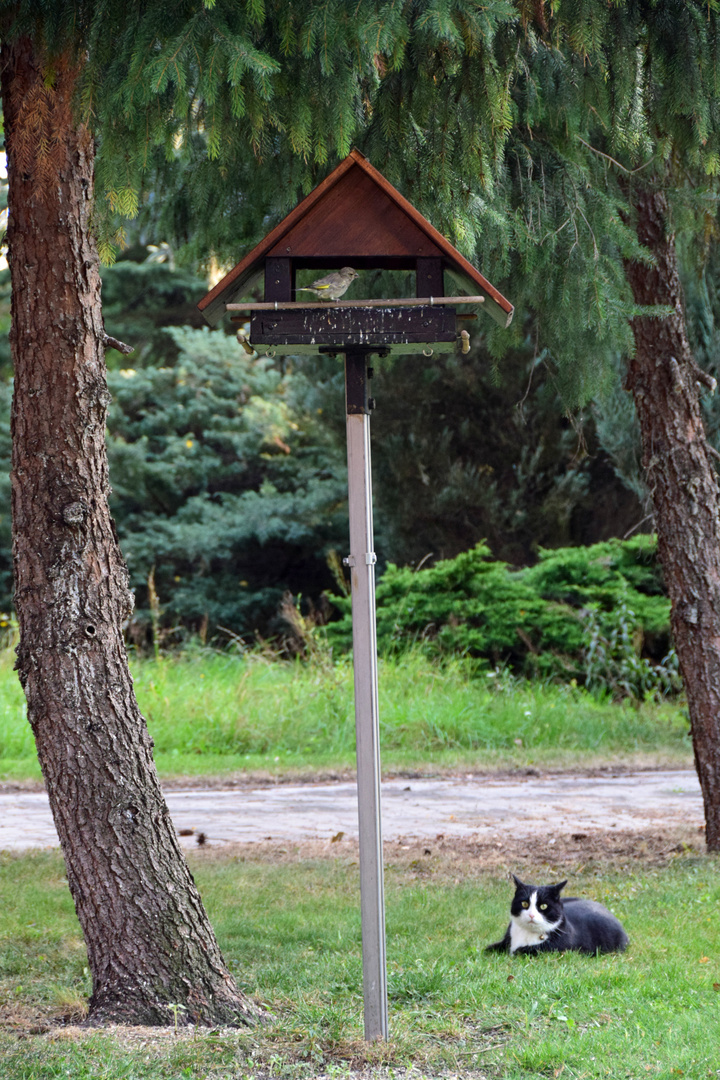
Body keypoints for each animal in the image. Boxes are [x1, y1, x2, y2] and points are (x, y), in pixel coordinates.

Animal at [483, 872, 630, 959]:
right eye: (524, 903)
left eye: (543, 906)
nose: (531, 915)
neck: (527, 934)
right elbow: (490, 948)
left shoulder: (560, 948)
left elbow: (524, 951)